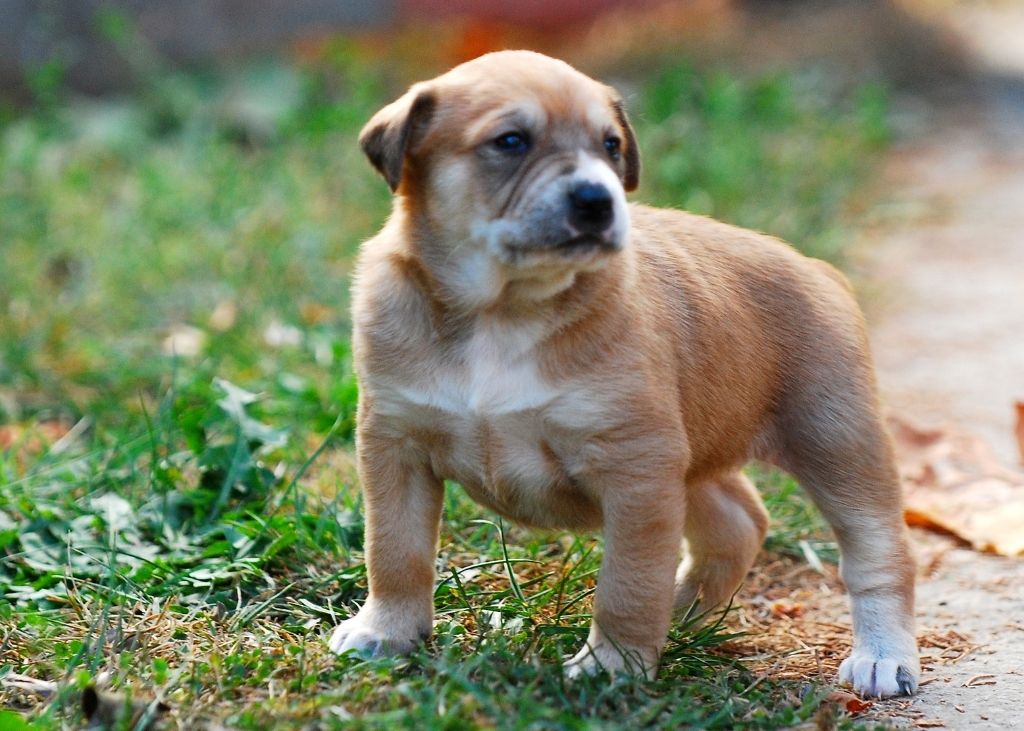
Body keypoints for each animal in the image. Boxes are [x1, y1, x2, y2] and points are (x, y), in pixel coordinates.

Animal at [329, 48, 921, 696]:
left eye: (611, 146)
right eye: (510, 141)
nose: (597, 199)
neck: (503, 309)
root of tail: (816, 267)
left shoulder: (636, 467)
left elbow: (627, 585)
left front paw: (612, 666)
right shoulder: (396, 444)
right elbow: (395, 551)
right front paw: (387, 632)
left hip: (836, 443)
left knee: (878, 552)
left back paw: (883, 655)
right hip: (695, 458)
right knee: (738, 523)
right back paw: (685, 614)